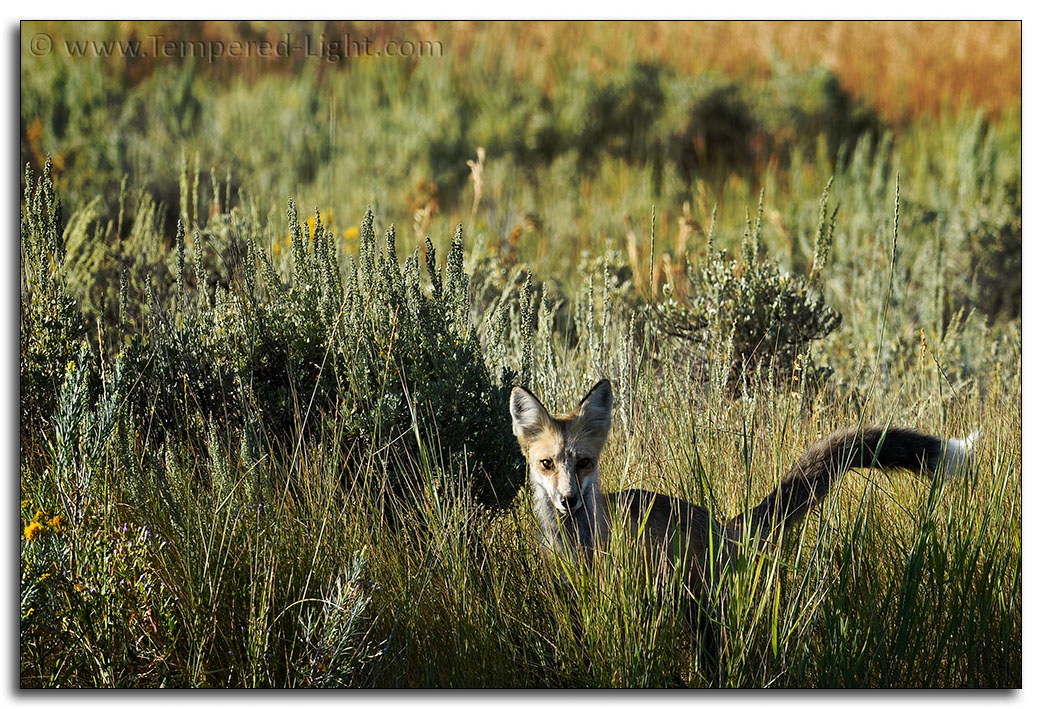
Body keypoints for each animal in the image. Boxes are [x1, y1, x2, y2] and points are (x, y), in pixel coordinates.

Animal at [509, 378, 977, 660]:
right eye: (547, 463)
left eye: (584, 462)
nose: (569, 500)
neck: (577, 542)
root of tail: (724, 524)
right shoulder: (571, 596)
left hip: (701, 613)